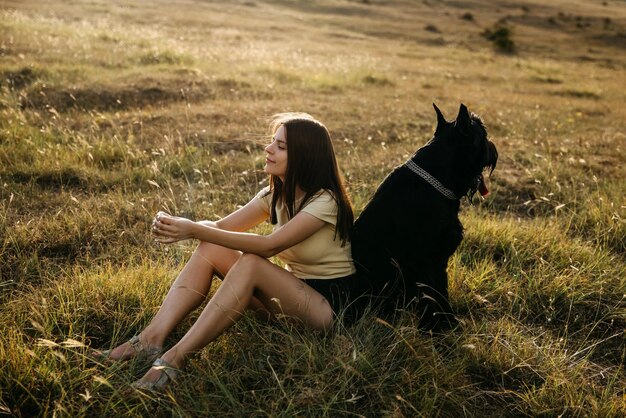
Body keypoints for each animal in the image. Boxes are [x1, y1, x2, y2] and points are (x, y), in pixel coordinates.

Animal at [354, 103, 494, 330]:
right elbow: (433, 294)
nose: (493, 148)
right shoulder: (426, 261)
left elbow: (440, 291)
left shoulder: (438, 259)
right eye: (484, 136)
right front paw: (439, 327)